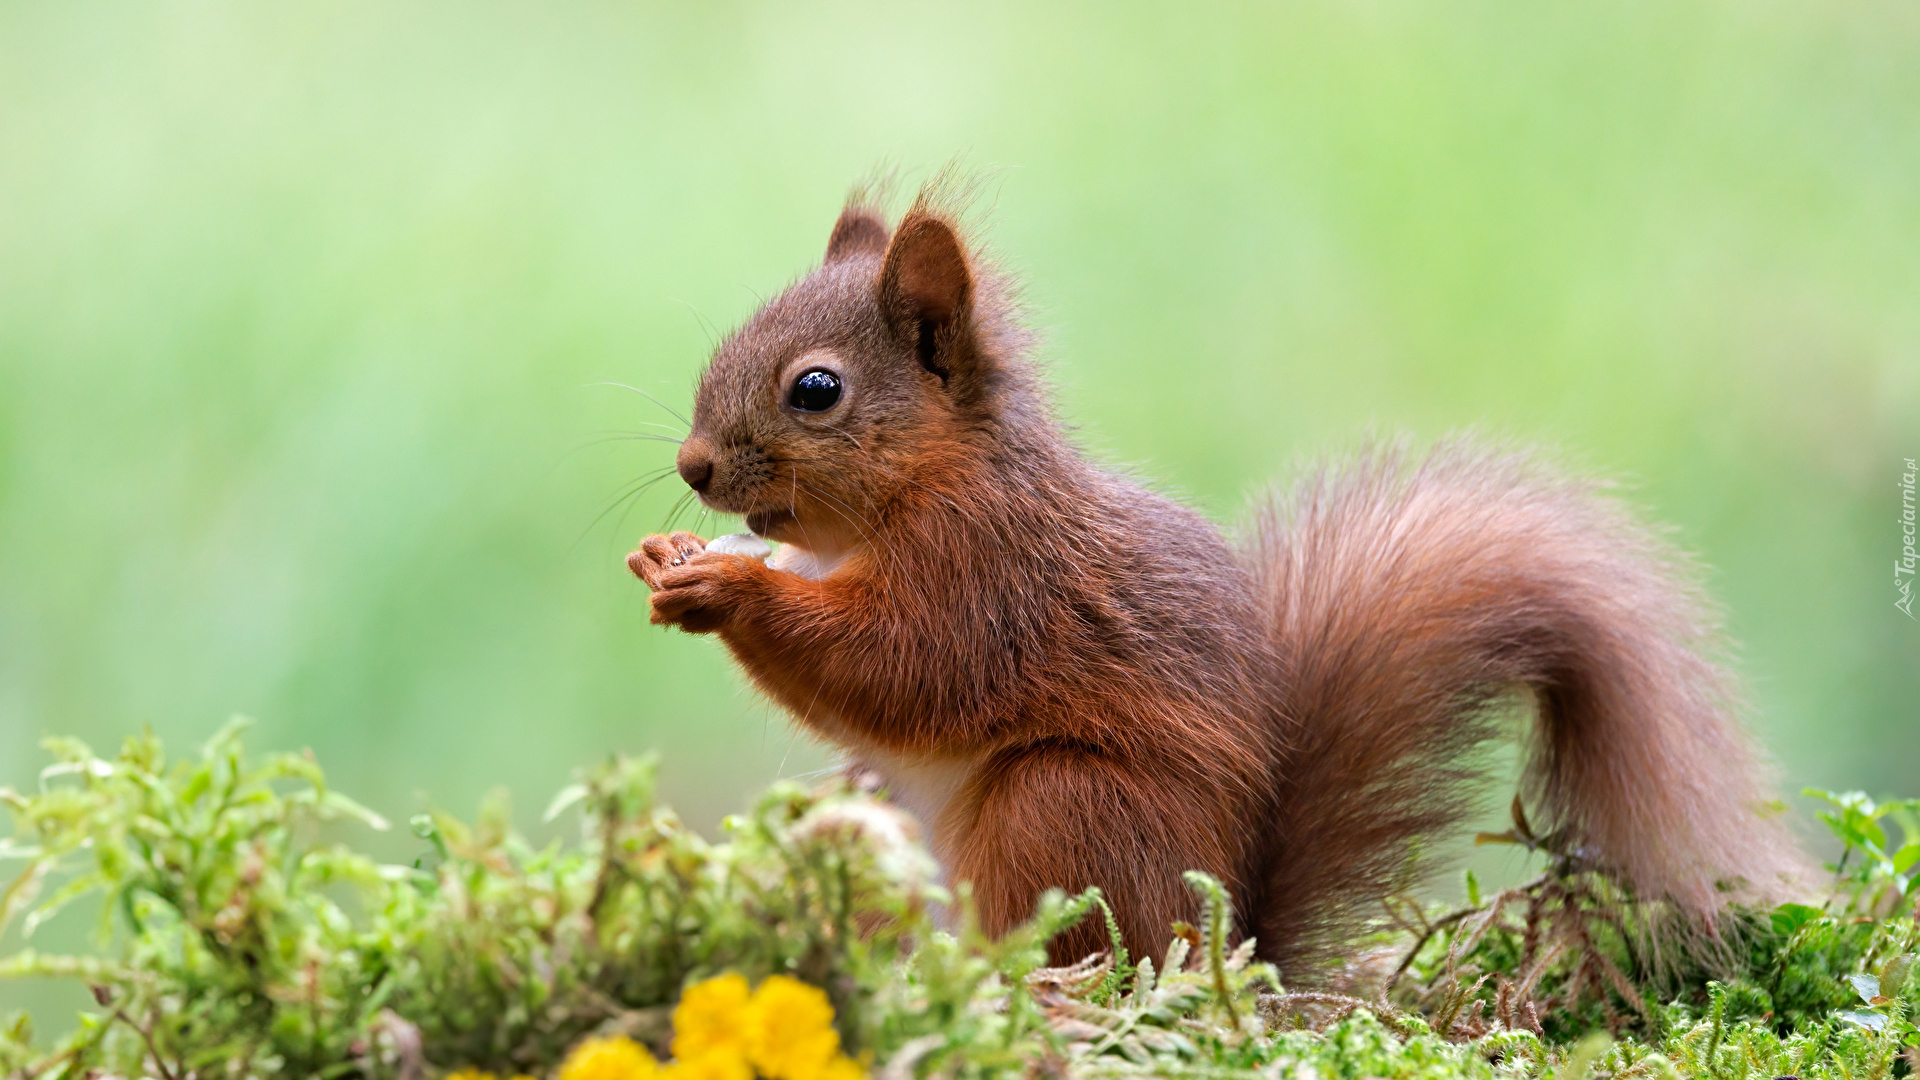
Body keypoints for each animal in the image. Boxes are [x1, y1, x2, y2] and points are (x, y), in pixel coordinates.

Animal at [625, 180, 1797, 972]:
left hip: (1066, 812)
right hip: (875, 823)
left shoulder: (991, 570)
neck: (921, 485)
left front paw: (730, 592)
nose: (692, 466)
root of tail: (1230, 939)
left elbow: (907, 666)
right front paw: (666, 559)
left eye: (816, 390)